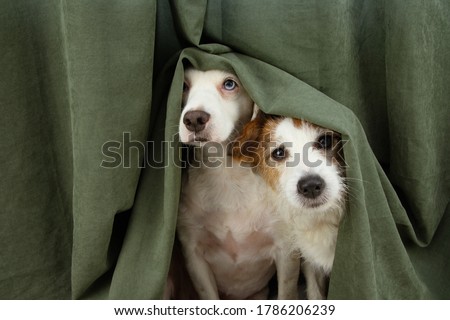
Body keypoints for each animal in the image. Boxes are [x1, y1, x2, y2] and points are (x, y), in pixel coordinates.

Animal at [176, 69, 298, 300]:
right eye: (184, 85)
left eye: (229, 84)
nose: (194, 118)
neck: (226, 174)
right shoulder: (194, 254)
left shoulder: (286, 250)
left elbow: (286, 294)